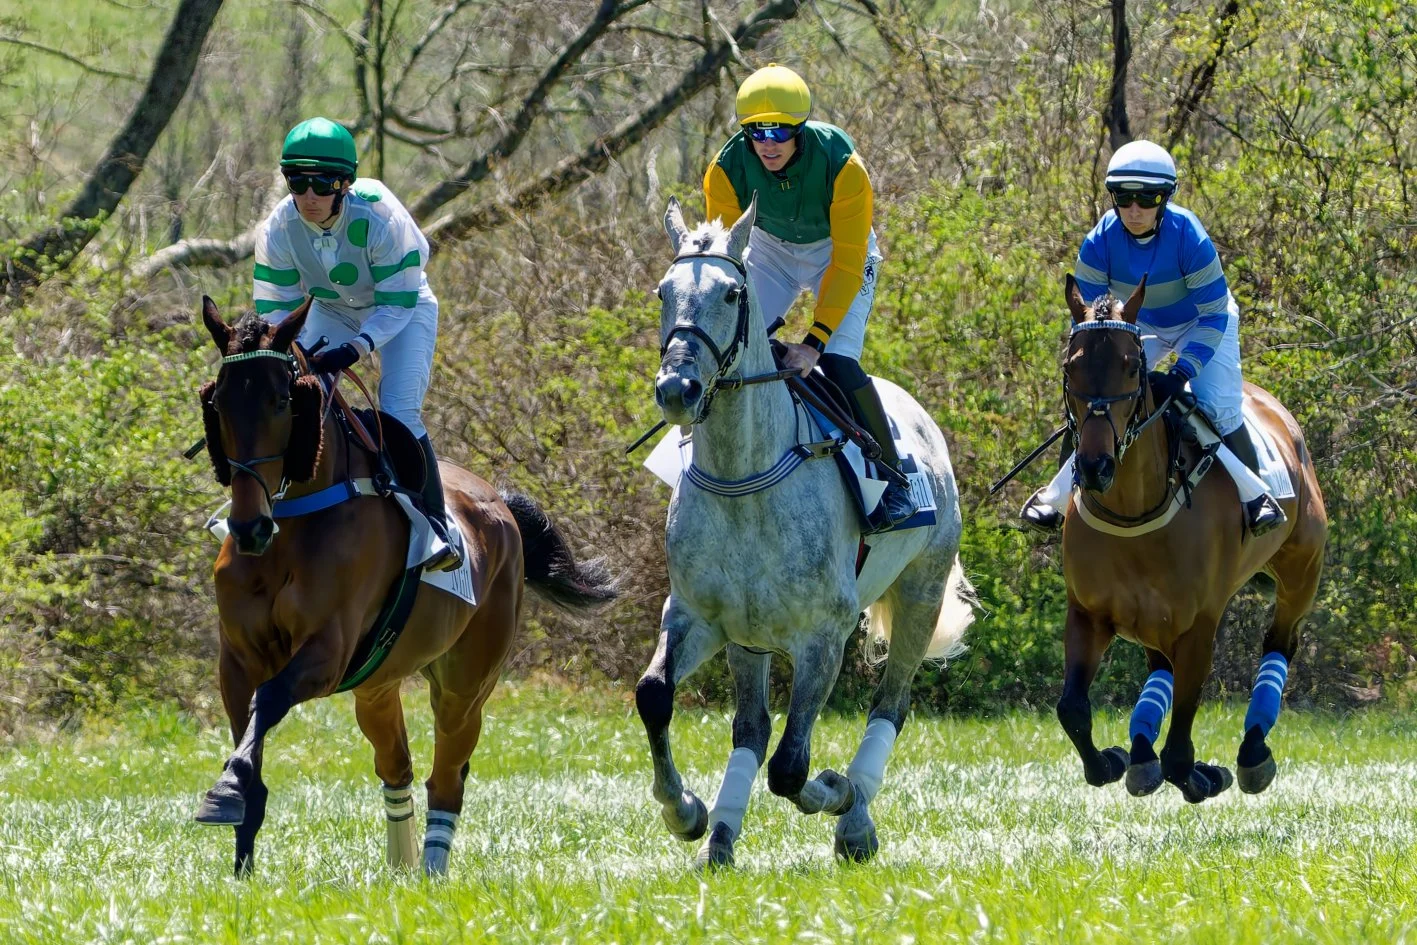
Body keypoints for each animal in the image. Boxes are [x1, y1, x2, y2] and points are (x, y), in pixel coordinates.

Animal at [193, 296, 616, 877]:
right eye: (219, 403)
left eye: (282, 401)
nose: (249, 527)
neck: (295, 522)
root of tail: (503, 508)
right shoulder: (236, 660)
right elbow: (252, 729)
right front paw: (238, 841)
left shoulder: (328, 652)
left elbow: (271, 698)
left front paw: (226, 791)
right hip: (376, 683)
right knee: (398, 767)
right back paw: (401, 867)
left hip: (466, 683)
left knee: (447, 776)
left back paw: (432, 871)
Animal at [635, 197, 975, 867]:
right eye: (663, 292)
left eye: (733, 293)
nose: (677, 388)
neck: (744, 481)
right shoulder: (702, 617)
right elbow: (656, 696)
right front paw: (685, 812)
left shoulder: (824, 635)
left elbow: (791, 768)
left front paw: (837, 793)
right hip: (749, 640)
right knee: (752, 728)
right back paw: (721, 837)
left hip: (921, 593)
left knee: (890, 705)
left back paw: (856, 818)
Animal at [1055, 274, 1327, 802]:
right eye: (1071, 365)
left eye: (1130, 365)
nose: (1096, 466)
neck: (1134, 516)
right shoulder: (1089, 614)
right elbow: (1071, 709)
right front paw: (1112, 760)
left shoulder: (1200, 622)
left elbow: (1181, 744)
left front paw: (1203, 773)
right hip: (1149, 618)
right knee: (1157, 667)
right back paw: (1140, 752)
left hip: (1302, 570)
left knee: (1280, 641)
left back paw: (1252, 751)